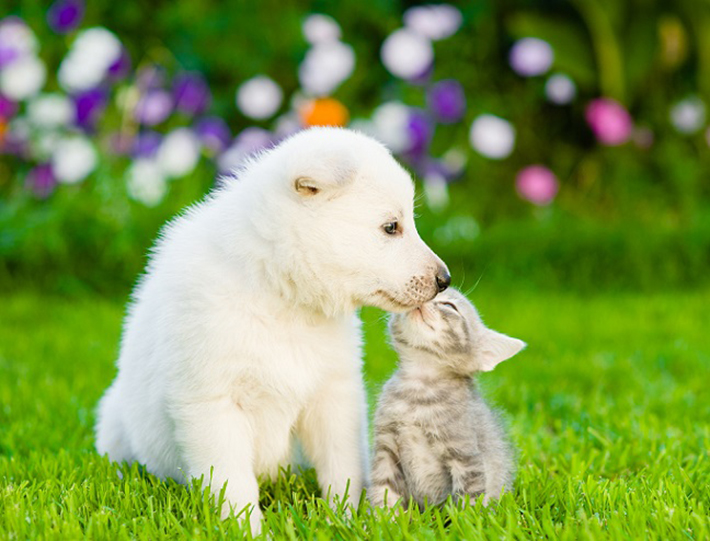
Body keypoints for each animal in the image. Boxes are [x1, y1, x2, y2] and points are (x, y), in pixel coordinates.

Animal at [94, 126, 450, 532]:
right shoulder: (212, 404)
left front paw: (347, 519)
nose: (445, 279)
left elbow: (342, 464)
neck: (279, 295)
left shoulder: (333, 394)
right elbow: (232, 481)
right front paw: (245, 529)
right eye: (391, 227)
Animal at [370, 286, 524, 506]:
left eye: (449, 305)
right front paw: (383, 516)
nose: (425, 297)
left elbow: (468, 500)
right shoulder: (385, 448)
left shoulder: (466, 456)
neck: (418, 390)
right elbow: (383, 491)